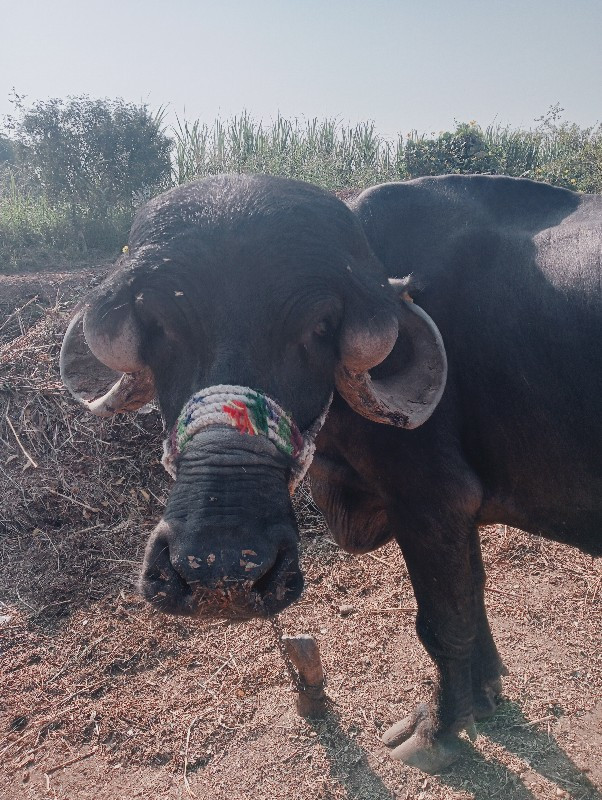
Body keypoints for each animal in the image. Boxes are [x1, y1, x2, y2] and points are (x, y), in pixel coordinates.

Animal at [58, 173, 596, 768]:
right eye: (158, 324)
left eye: (319, 327)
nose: (220, 569)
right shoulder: (459, 517)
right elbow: (473, 598)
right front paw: (483, 696)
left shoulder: (432, 501)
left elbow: (443, 621)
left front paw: (438, 730)